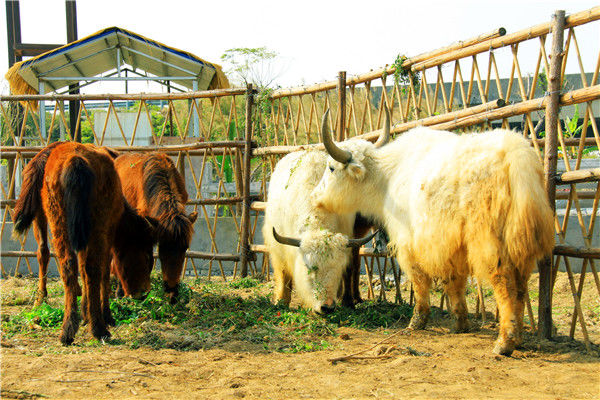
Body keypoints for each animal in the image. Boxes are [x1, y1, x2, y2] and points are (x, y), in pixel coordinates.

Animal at [12, 142, 157, 346]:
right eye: (146, 255)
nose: (143, 293)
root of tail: (75, 160)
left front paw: (85, 312)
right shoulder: (108, 233)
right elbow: (103, 272)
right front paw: (105, 315)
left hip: (55, 221)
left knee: (61, 262)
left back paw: (65, 327)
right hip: (95, 226)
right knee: (92, 268)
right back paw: (99, 328)